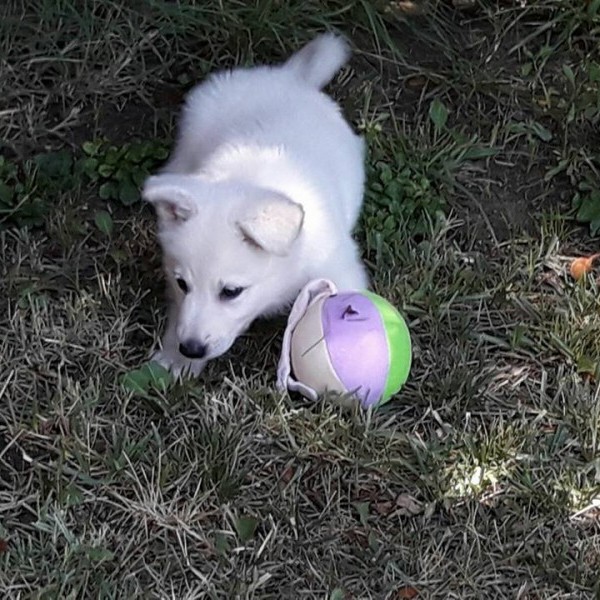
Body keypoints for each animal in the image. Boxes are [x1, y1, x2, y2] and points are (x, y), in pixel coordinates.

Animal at [145, 32, 368, 376]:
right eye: (183, 283)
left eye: (231, 292)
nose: (191, 348)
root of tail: (289, 78)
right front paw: (176, 358)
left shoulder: (337, 264)